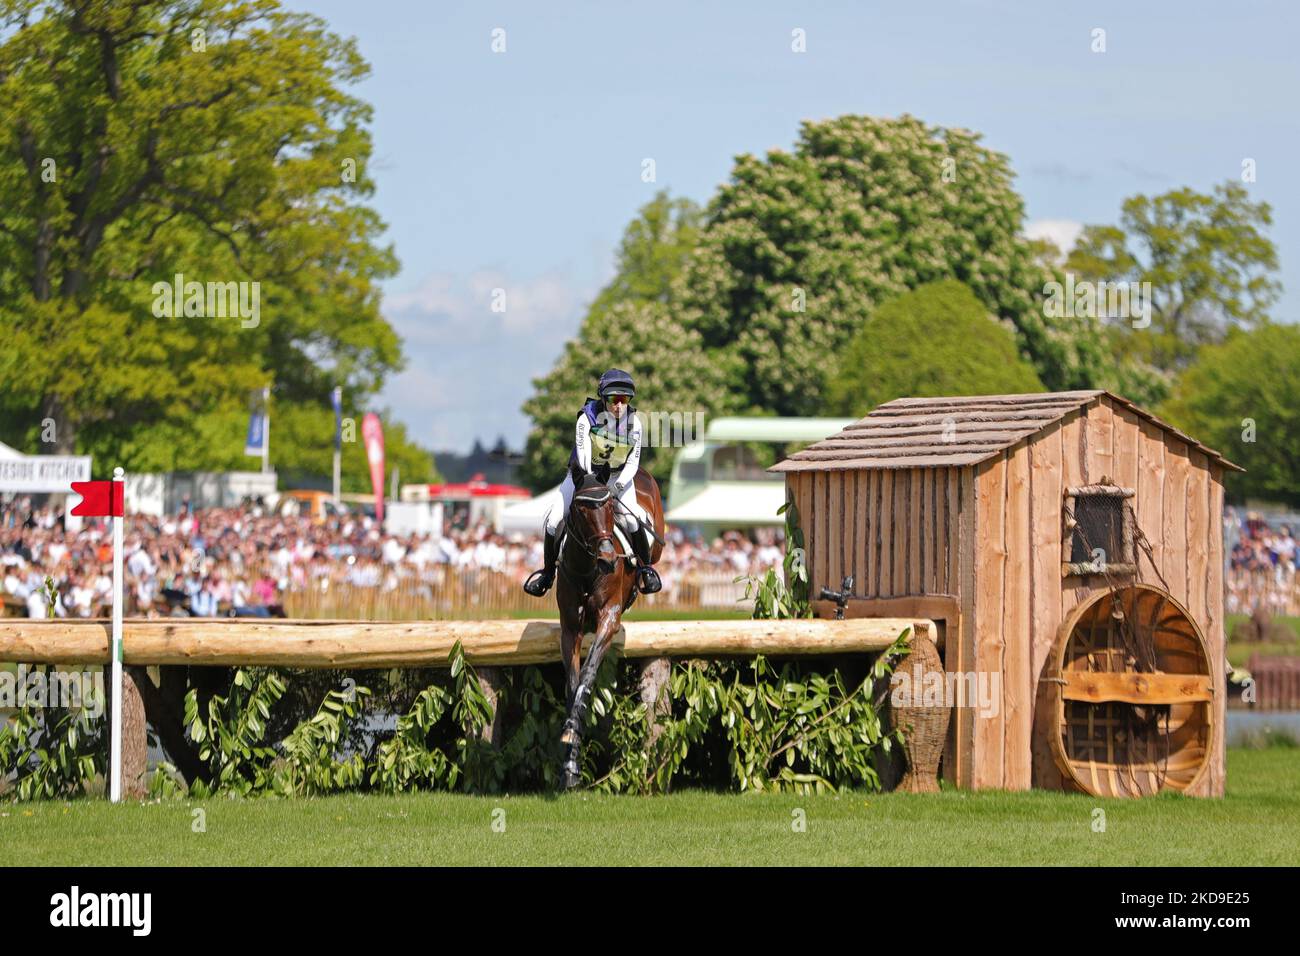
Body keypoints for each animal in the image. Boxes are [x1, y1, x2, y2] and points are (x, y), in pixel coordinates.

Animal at [556, 468, 665, 790]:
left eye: (608, 507)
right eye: (580, 509)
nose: (606, 558)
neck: (587, 568)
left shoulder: (609, 618)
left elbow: (588, 674)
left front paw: (572, 734)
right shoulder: (570, 628)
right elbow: (573, 683)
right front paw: (570, 764)